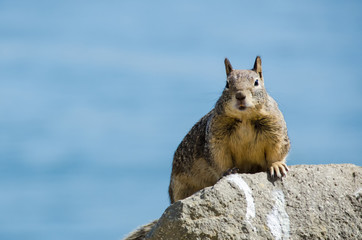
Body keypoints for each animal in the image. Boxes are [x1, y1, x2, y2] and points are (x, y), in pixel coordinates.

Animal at [168, 55, 290, 202]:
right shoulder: (216, 140)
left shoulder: (276, 131)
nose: (240, 95)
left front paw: (277, 166)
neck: (245, 118)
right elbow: (219, 158)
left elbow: (277, 151)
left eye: (256, 82)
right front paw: (228, 171)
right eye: (227, 84)